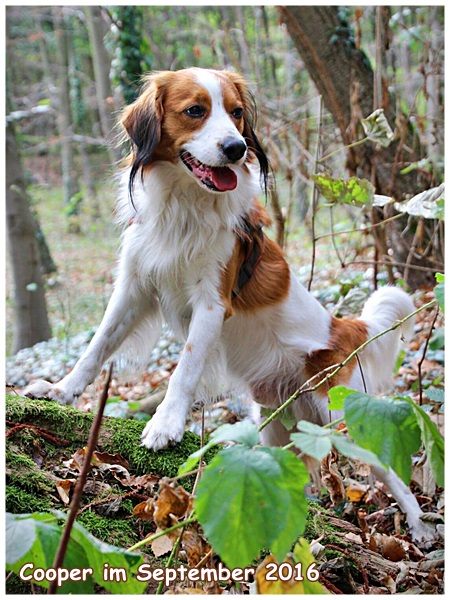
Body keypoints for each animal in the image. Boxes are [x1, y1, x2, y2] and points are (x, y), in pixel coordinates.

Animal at [25, 68, 432, 540]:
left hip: (341, 415)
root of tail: (343, 328)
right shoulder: (134, 288)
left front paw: (165, 423)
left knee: (389, 472)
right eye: (194, 111)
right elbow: (97, 347)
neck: (184, 203)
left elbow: (183, 368)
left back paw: (420, 525)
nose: (236, 148)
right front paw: (61, 391)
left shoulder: (212, 304)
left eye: (236, 113)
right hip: (279, 425)